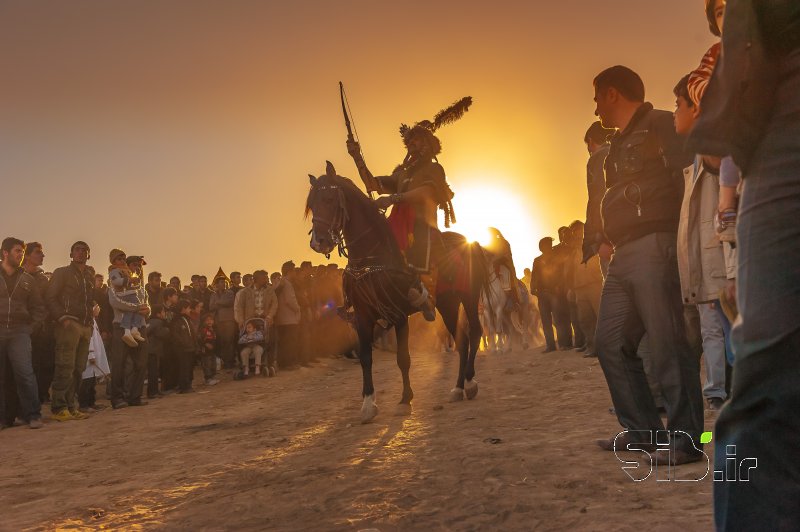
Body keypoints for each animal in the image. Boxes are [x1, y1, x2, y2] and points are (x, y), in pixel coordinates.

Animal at [306, 162, 490, 424]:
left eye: (330, 199)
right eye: (312, 204)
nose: (318, 242)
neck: (372, 257)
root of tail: (472, 242)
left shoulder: (399, 315)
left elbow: (403, 359)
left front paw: (405, 400)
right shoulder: (363, 317)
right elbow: (365, 358)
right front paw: (368, 404)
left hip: (469, 297)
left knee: (474, 332)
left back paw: (471, 383)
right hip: (448, 303)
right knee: (461, 340)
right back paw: (457, 388)